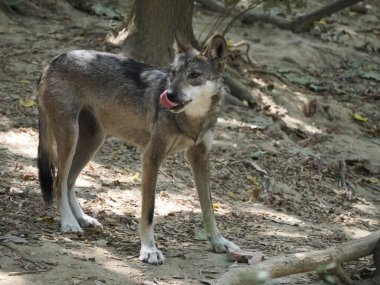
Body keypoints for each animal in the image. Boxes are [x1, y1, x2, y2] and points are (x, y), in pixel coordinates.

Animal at [35, 35, 238, 264]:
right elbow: (148, 211)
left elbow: (209, 208)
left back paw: (82, 218)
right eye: (173, 73)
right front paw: (149, 250)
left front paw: (219, 242)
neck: (194, 118)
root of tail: (53, 61)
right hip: (70, 138)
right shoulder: (151, 157)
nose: (168, 94)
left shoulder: (200, 158)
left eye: (194, 75)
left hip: (92, 143)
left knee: (69, 181)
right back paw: (69, 222)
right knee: (58, 181)